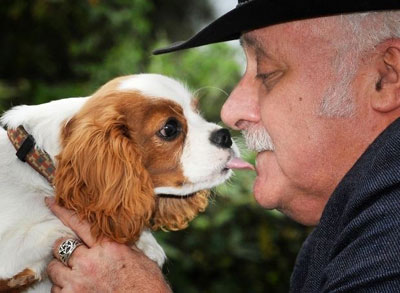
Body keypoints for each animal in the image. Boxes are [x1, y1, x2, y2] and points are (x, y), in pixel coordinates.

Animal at [0, 73, 252, 290]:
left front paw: (145, 241)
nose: (225, 136)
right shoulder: (8, 254)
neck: (35, 160)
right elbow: (57, 223)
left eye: (197, 113)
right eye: (170, 128)